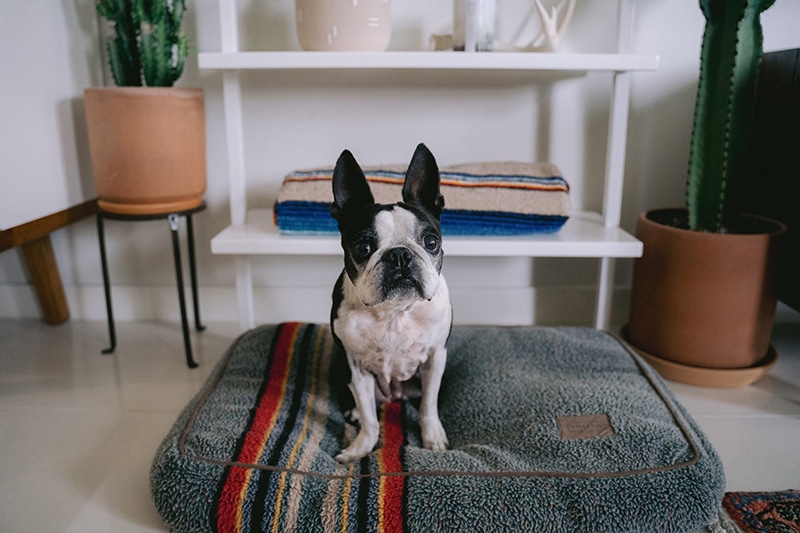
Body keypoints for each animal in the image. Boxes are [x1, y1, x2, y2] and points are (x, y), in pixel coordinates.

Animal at [330, 142, 454, 462]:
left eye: (431, 242)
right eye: (362, 247)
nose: (399, 255)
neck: (394, 311)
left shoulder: (435, 358)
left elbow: (428, 406)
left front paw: (432, 439)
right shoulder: (355, 367)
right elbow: (371, 419)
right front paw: (359, 449)